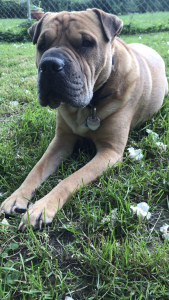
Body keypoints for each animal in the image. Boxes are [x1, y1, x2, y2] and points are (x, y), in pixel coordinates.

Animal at [0, 8, 168, 230]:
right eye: (41, 45)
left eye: (86, 43)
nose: (49, 64)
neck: (90, 105)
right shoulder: (60, 141)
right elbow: (36, 169)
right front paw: (17, 196)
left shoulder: (109, 152)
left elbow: (70, 179)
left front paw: (42, 207)